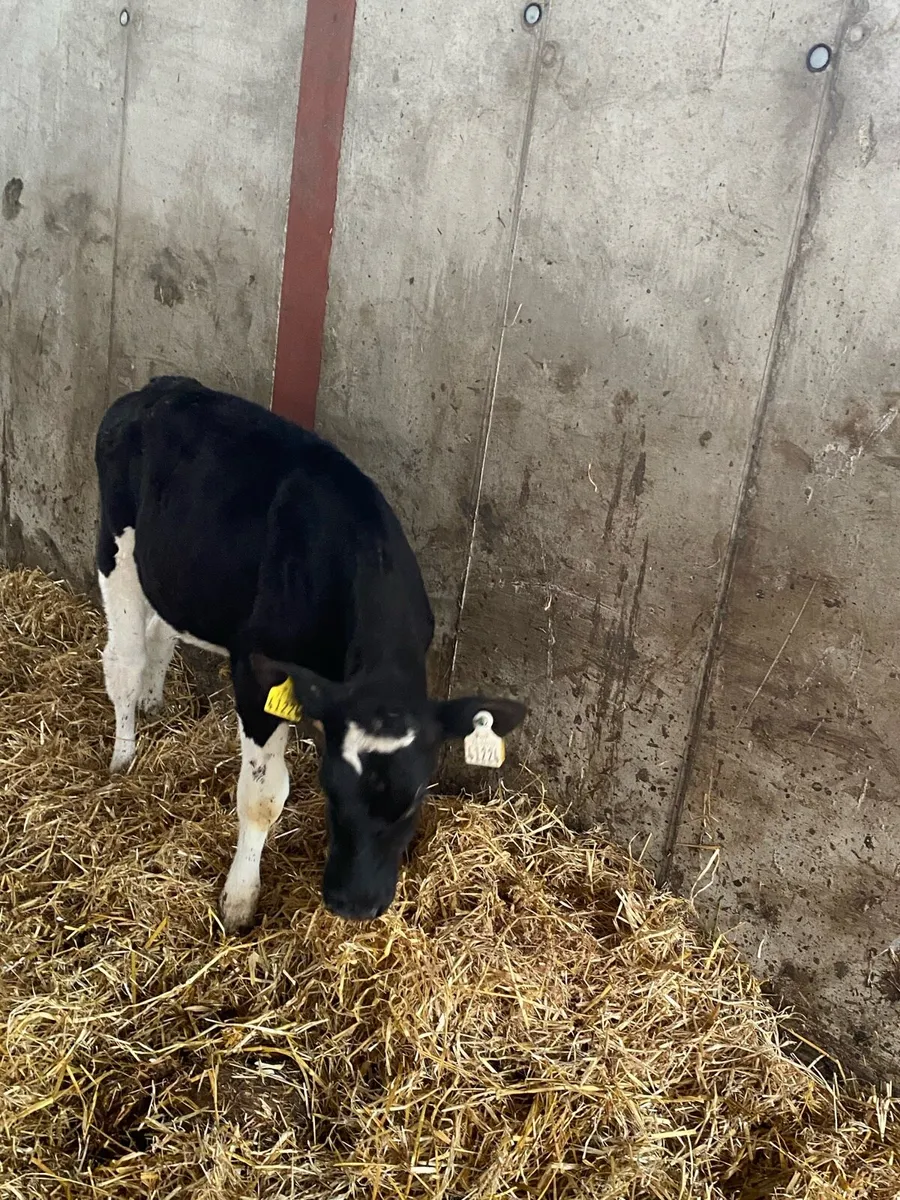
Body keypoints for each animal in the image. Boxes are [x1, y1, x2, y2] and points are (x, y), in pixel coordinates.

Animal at [94, 377, 526, 931]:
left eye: (415, 798)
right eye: (330, 788)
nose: (355, 904)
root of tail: (157, 387)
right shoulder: (255, 675)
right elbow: (261, 798)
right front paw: (239, 899)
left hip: (177, 575)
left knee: (159, 633)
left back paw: (153, 701)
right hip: (115, 546)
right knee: (123, 660)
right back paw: (124, 755)